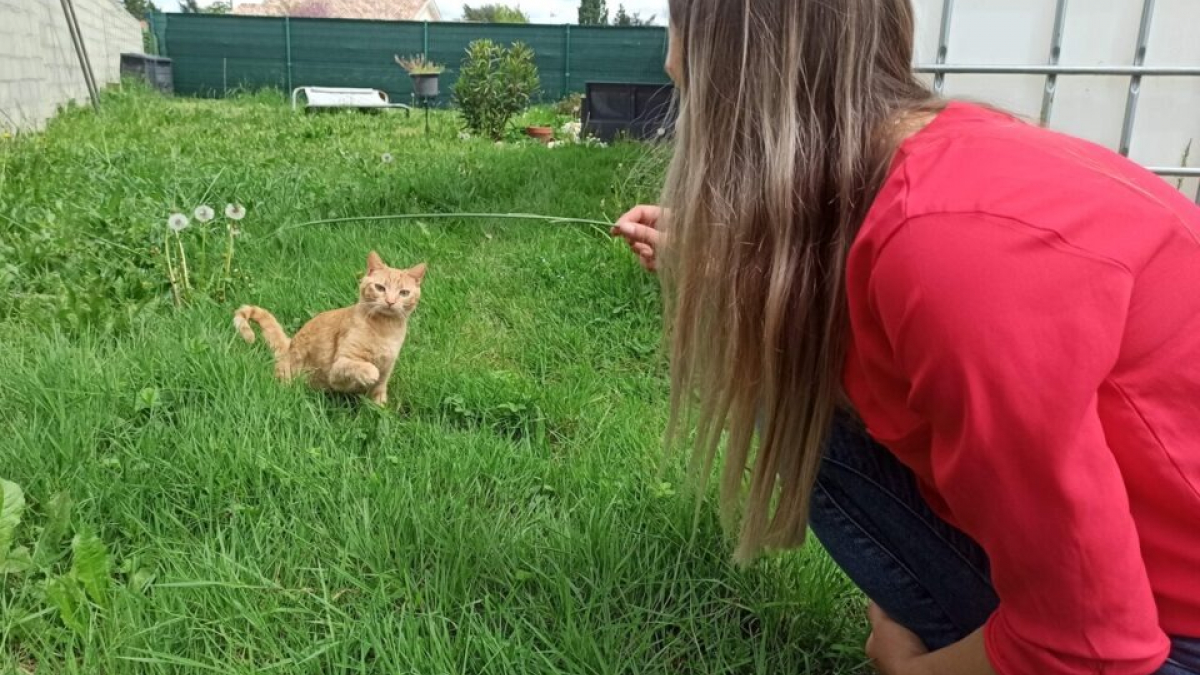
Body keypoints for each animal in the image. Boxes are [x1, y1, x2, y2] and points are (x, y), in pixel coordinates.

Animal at [234, 249, 427, 401]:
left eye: (404, 293)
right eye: (380, 288)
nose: (390, 302)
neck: (385, 330)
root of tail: (289, 346)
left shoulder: (384, 377)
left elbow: (379, 400)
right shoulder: (337, 369)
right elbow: (360, 366)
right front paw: (371, 372)